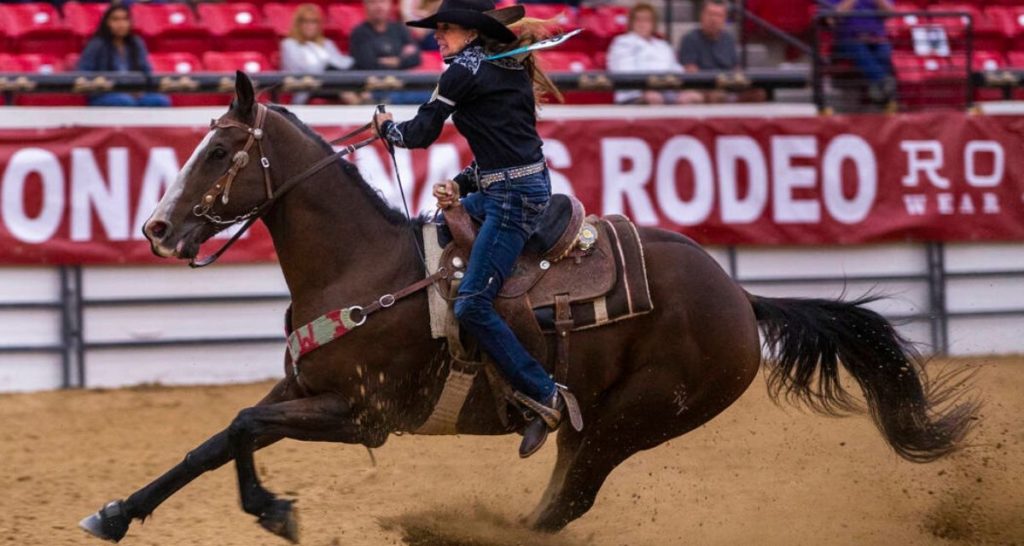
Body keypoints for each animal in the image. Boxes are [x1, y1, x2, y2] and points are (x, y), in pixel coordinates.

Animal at [77, 71, 974, 540]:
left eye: (222, 150)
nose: (157, 228)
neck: (359, 266)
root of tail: (741, 298)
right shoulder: (303, 391)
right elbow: (218, 438)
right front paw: (119, 512)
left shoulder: (362, 414)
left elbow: (241, 429)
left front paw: (272, 509)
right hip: (600, 425)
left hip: (633, 420)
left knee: (564, 505)